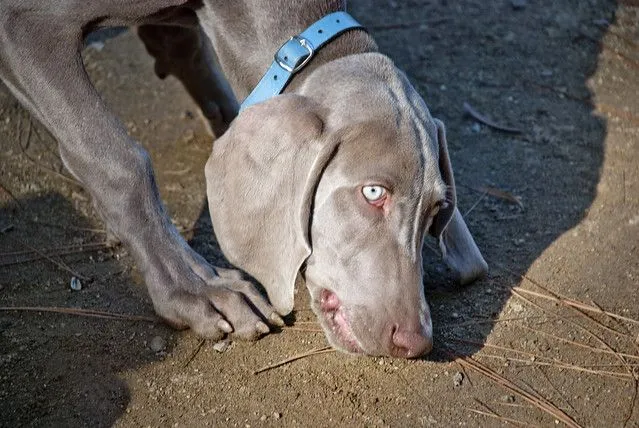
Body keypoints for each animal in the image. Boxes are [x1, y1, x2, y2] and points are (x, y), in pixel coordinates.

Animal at [1, 0, 490, 358]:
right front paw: (199, 289)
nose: (417, 342)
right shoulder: (24, 26)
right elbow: (120, 160)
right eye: (373, 192)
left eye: (437, 212)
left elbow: (186, 50)